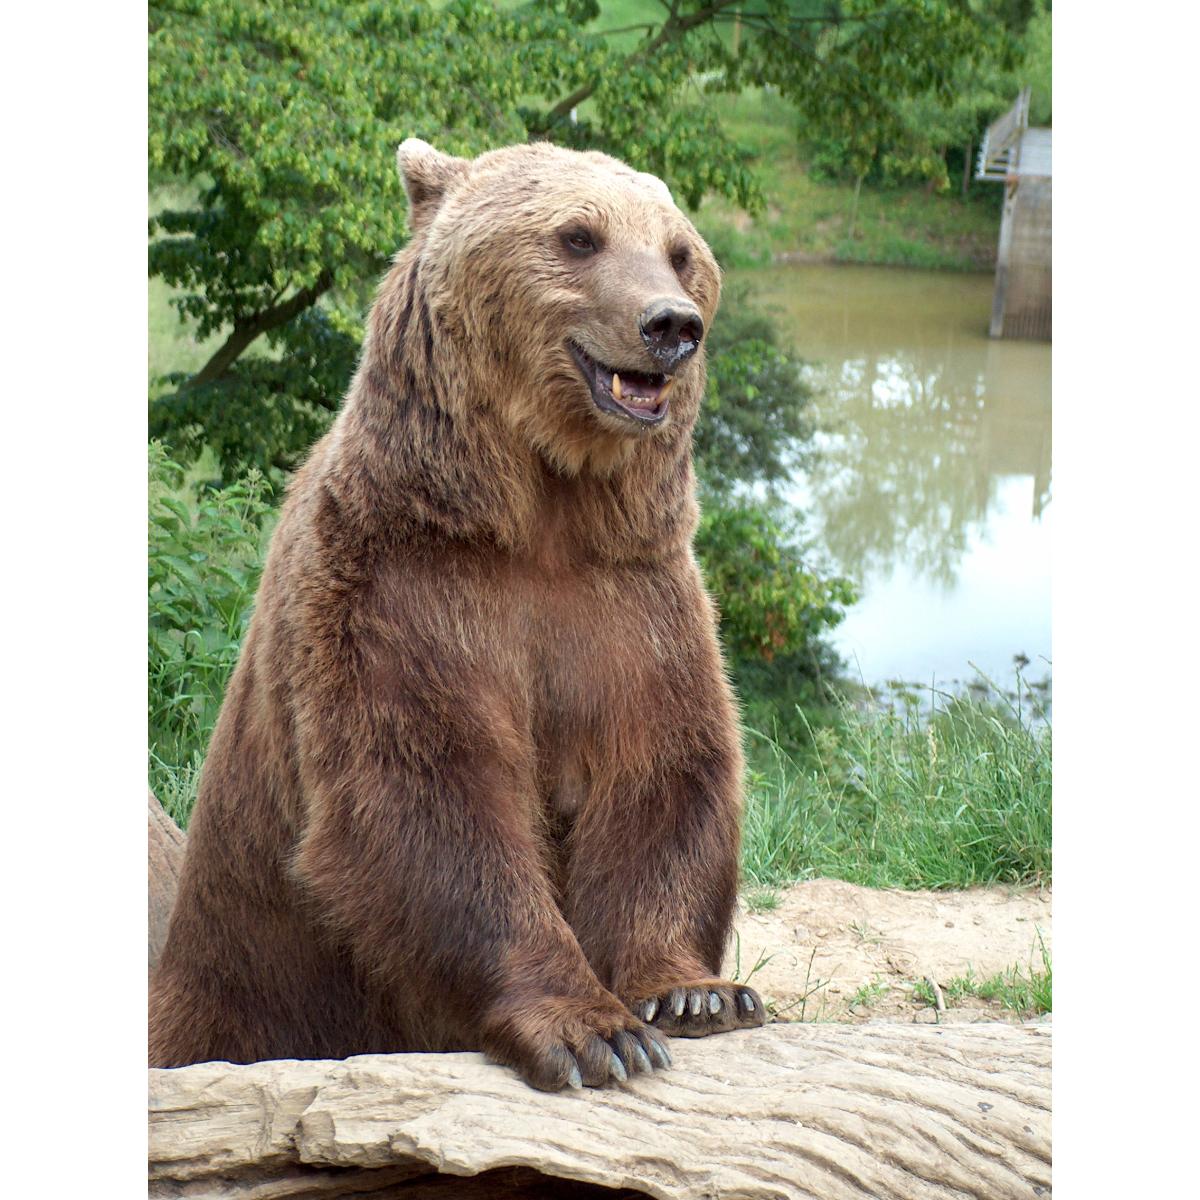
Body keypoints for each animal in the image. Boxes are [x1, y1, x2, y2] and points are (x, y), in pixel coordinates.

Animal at [147, 138, 768, 1089]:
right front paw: (595, 1034)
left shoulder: (631, 596)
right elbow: (432, 793)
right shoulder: (401, 587)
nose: (671, 325)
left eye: (679, 251)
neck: (539, 509)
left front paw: (692, 995)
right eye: (579, 236)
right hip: (246, 980)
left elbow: (661, 772)